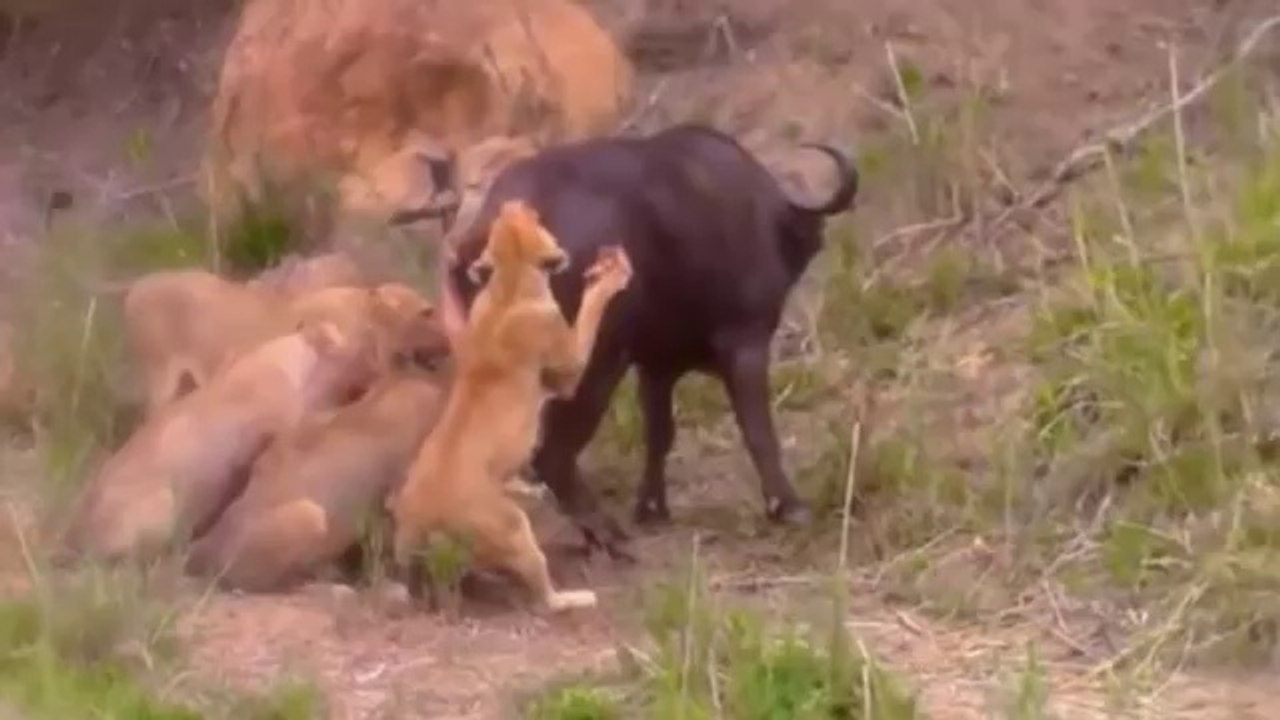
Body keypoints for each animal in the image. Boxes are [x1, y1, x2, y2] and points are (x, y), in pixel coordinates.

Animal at [388, 199, 632, 613]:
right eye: (533, 219)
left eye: (504, 220)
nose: (515, 202)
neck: (509, 281)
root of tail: (420, 519)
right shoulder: (567, 372)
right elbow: (589, 312)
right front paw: (610, 276)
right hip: (513, 528)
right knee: (543, 598)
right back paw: (575, 597)